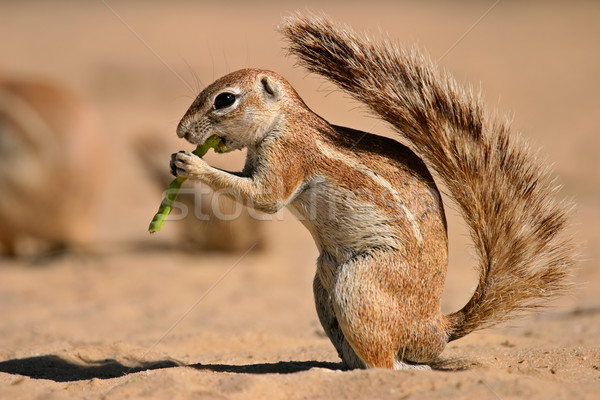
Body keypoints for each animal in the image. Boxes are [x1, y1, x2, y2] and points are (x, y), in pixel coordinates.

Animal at [171, 14, 576, 370]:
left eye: (225, 99)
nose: (181, 132)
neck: (284, 120)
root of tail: (437, 328)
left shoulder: (288, 156)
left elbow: (266, 198)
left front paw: (192, 165)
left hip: (360, 285)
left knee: (389, 364)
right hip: (324, 287)